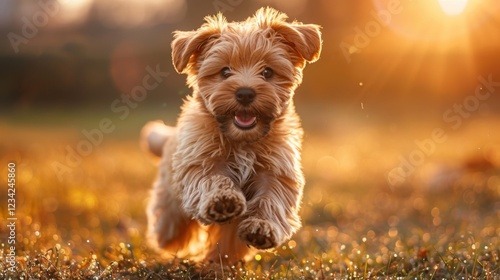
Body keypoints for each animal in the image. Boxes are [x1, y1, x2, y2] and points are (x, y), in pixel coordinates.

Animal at [142, 7, 320, 264]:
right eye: (225, 72)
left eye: (267, 72)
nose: (245, 93)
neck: (243, 141)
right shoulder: (201, 160)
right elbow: (214, 179)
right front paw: (223, 201)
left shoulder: (276, 171)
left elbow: (271, 199)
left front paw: (262, 227)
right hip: (171, 208)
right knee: (170, 227)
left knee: (225, 239)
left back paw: (219, 262)